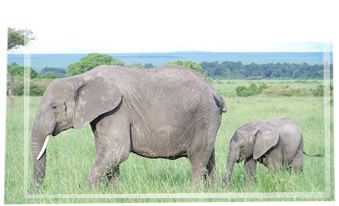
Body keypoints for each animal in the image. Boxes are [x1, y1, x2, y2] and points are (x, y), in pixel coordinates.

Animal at [31, 65, 227, 191]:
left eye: (54, 107)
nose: (34, 193)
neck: (81, 78)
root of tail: (214, 92)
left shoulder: (117, 111)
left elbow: (117, 151)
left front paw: (91, 193)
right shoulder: (103, 114)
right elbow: (108, 154)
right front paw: (115, 193)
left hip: (204, 117)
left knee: (198, 158)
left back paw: (195, 191)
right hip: (206, 121)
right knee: (209, 158)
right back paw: (214, 191)